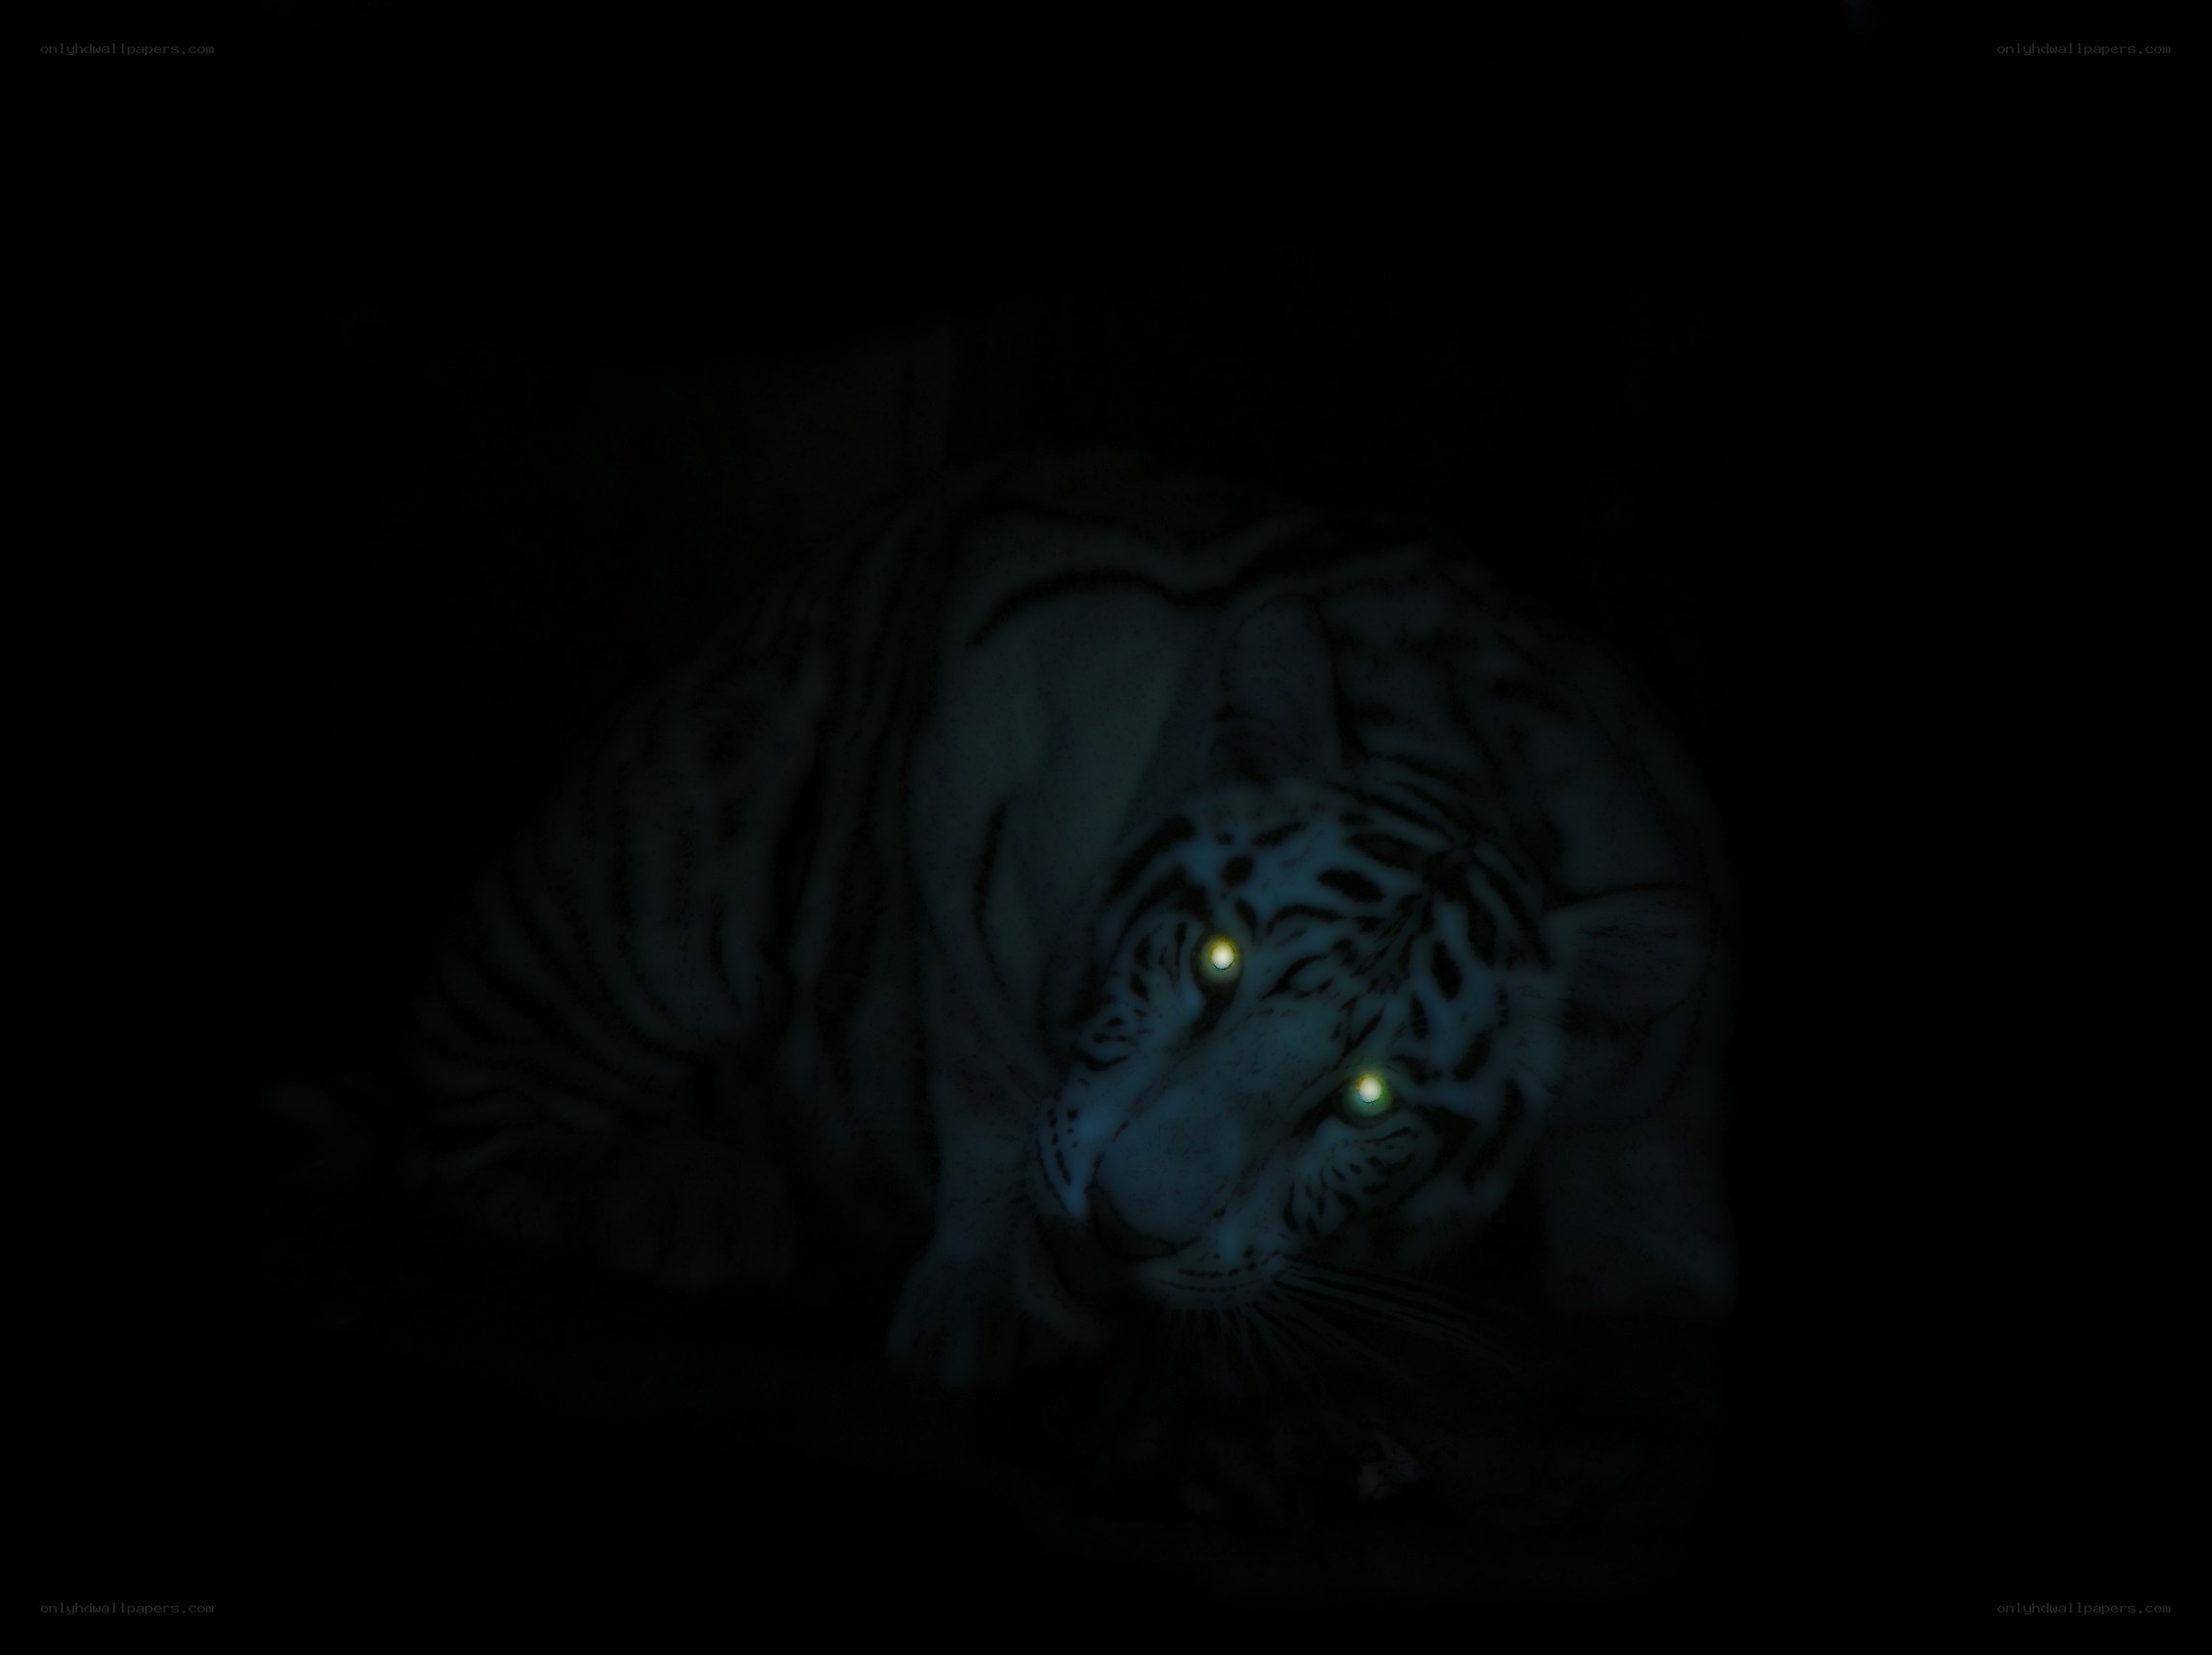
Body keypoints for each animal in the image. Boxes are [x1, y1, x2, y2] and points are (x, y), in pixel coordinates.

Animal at [385, 451, 1737, 1438]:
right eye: (1215, 964)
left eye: (1366, 1098)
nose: (1128, 1230)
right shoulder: (988, 716)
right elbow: (985, 1075)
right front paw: (989, 1297)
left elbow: (1657, 1146)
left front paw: (1667, 1274)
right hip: (677, 849)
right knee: (469, 1106)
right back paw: (689, 1203)